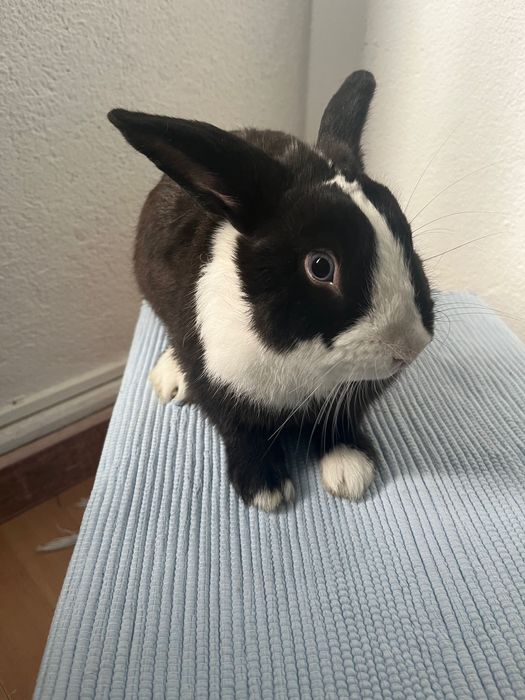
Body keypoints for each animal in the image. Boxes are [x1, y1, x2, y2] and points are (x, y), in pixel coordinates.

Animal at [108, 70, 434, 511]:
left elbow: (339, 424)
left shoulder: (351, 398)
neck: (302, 358)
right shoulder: (219, 387)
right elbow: (242, 431)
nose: (410, 348)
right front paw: (265, 488)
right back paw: (169, 377)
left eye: (407, 234)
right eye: (320, 266)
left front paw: (351, 469)